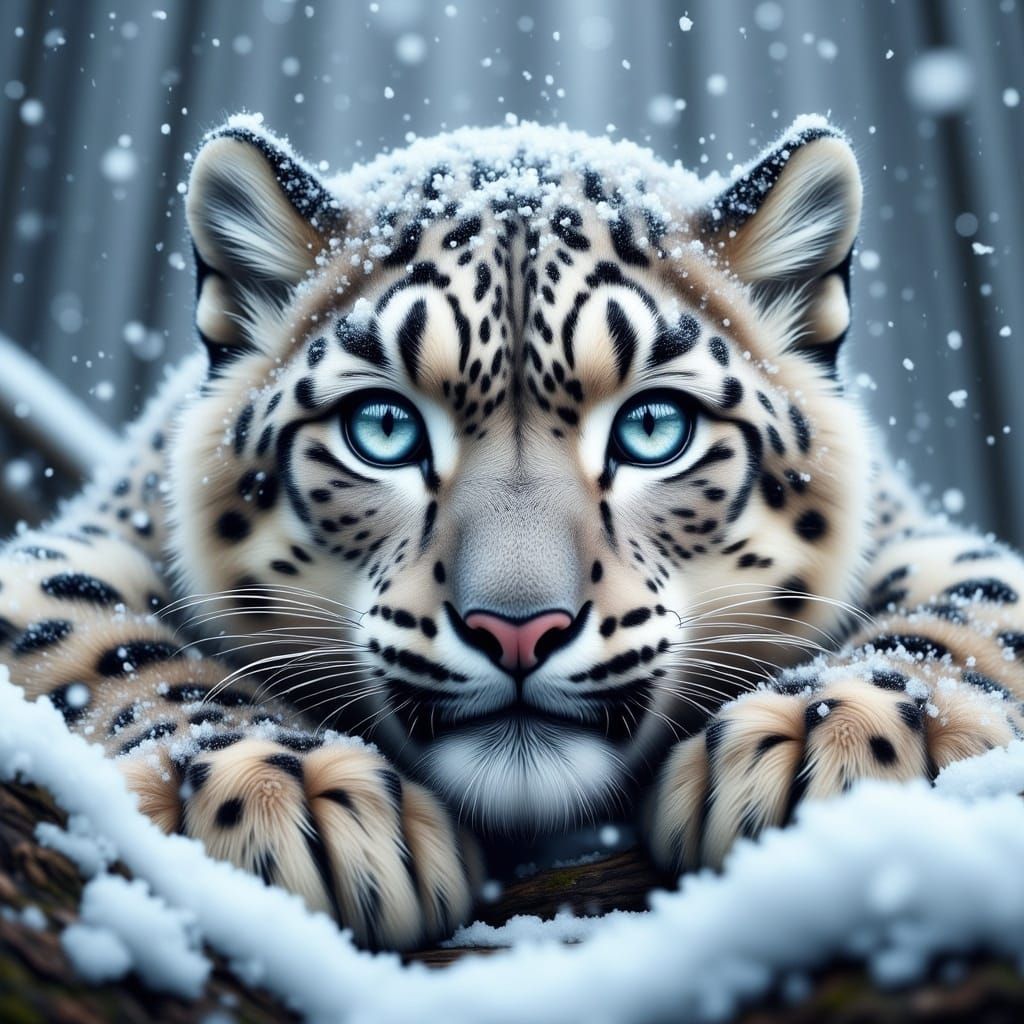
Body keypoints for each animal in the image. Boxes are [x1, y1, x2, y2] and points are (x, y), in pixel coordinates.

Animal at [3, 112, 1023, 952]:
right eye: (384, 428)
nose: (519, 630)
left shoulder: (923, 537)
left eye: (655, 427)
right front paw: (284, 794)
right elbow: (99, 638)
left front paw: (838, 736)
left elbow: (973, 605)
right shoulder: (80, 544)